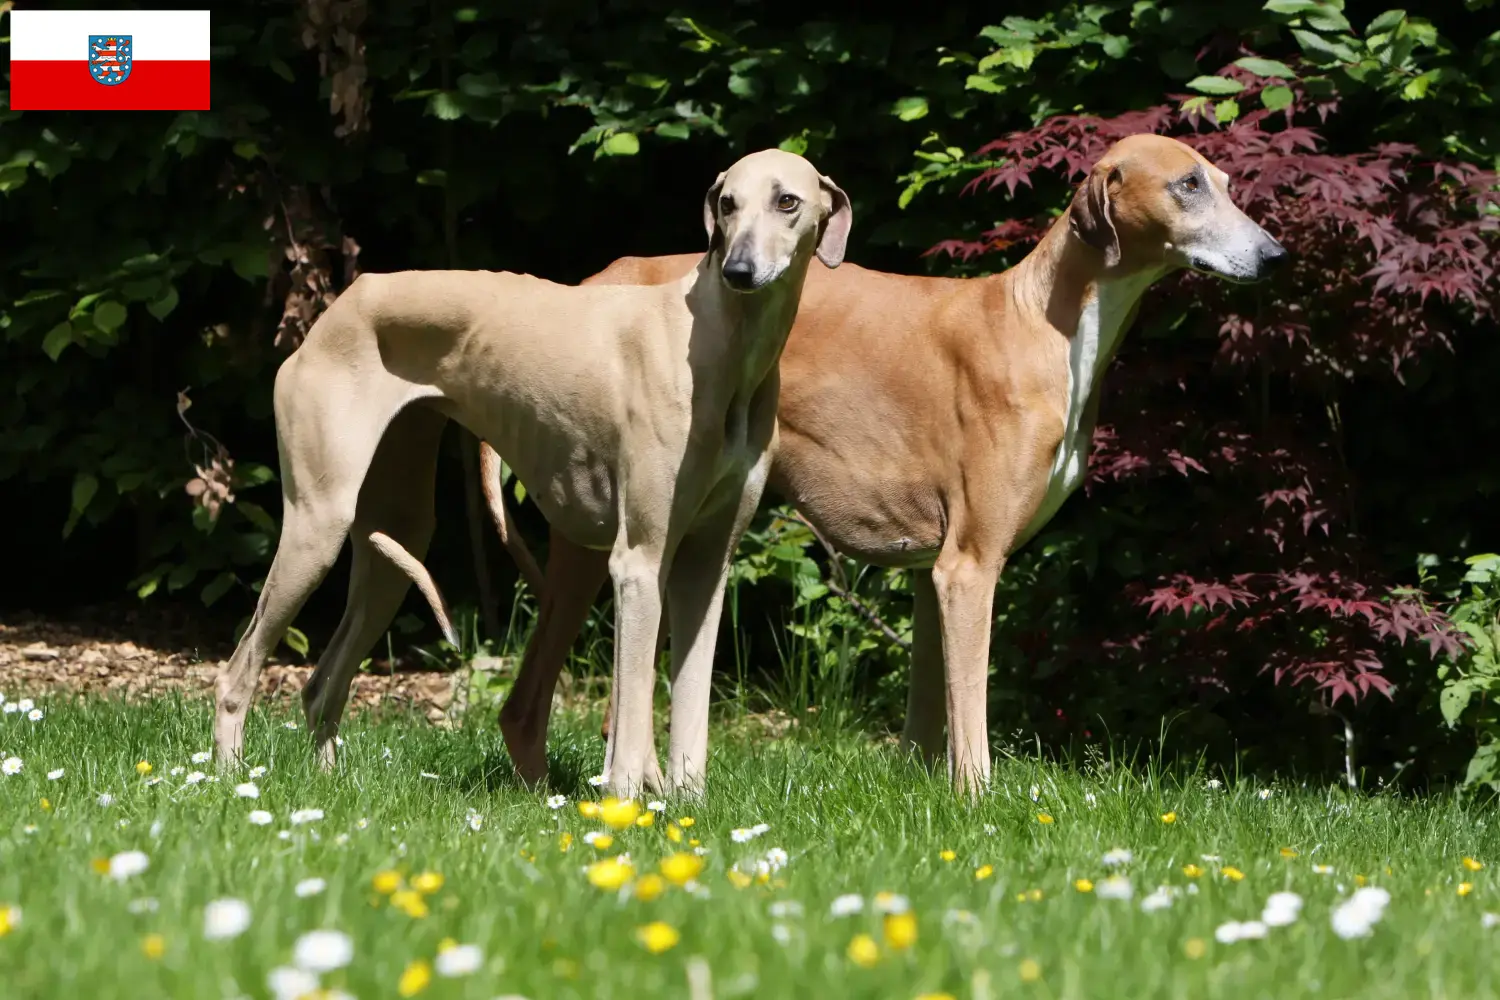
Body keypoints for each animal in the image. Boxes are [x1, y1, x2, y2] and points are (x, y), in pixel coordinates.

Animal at [486, 132, 1284, 791]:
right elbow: (972, 731)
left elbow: (928, 730)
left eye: (1222, 180)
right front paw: (979, 806)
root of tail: (601, 277)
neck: (1040, 318)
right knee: (543, 700)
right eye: (1188, 184)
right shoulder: (968, 567)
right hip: (607, 541)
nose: (1275, 256)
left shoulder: (934, 577)